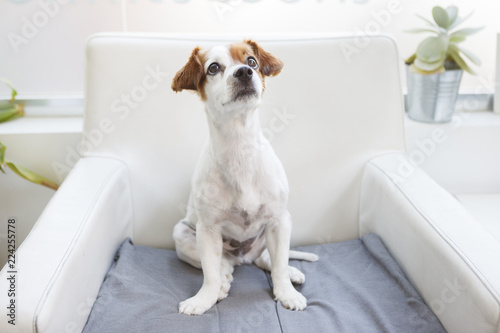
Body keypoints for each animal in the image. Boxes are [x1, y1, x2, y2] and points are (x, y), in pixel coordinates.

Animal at [172, 39, 318, 314]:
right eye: (213, 67)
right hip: (183, 233)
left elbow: (279, 266)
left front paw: (286, 293)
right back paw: (224, 279)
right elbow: (209, 274)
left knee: (266, 260)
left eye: (251, 61)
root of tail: (243, 257)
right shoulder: (207, 230)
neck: (239, 146)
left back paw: (292, 272)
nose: (244, 72)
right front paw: (204, 298)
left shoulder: (279, 222)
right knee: (223, 265)